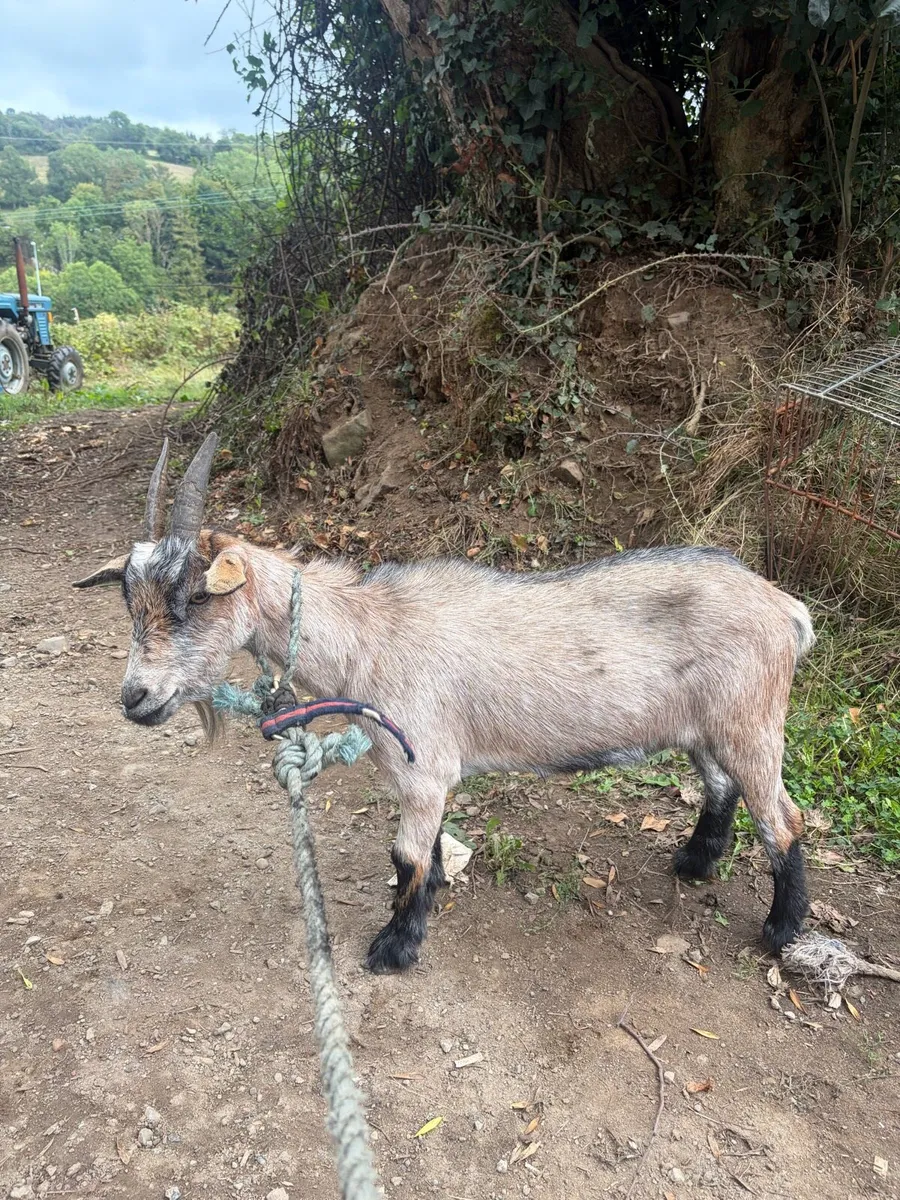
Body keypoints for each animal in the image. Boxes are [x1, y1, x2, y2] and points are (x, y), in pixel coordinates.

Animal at [74, 433, 815, 972]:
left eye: (198, 595)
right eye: (130, 601)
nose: (136, 698)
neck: (368, 635)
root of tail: (785, 608)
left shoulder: (422, 765)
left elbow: (407, 856)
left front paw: (394, 948)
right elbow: (425, 854)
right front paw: (425, 902)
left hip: (753, 722)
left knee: (783, 819)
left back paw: (782, 930)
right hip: (706, 725)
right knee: (720, 786)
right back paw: (695, 863)